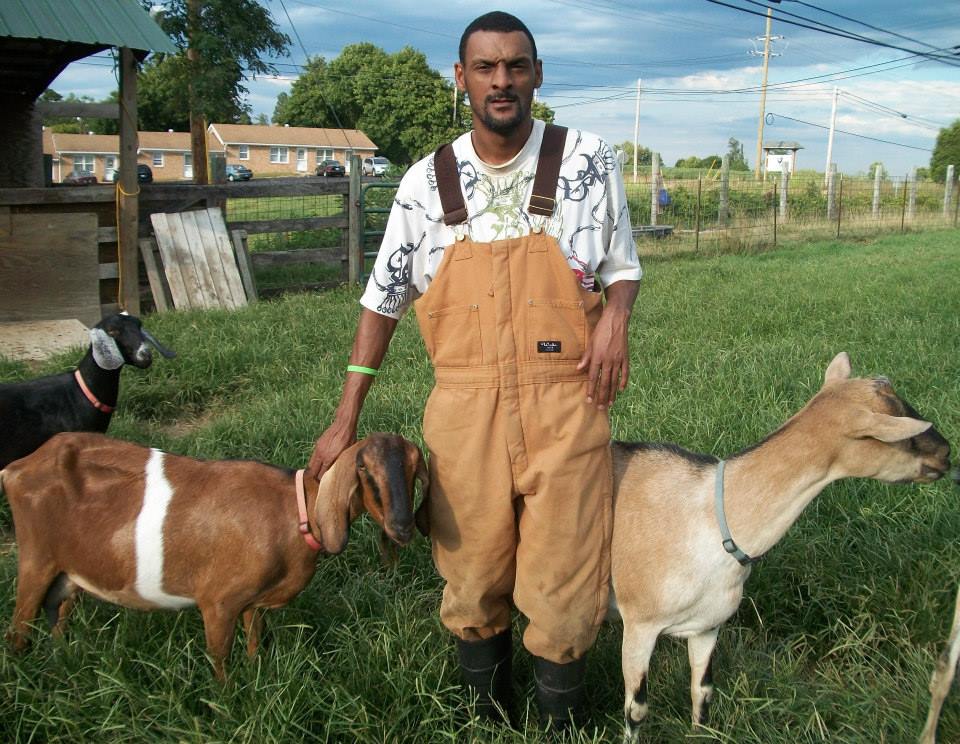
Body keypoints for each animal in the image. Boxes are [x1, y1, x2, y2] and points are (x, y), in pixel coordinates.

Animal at [0, 430, 428, 680]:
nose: (403, 528)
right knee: (18, 631)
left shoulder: (252, 602)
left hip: (68, 575)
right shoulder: (218, 602)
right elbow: (220, 659)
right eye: (365, 471)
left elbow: (255, 640)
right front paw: (227, 702)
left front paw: (257, 678)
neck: (295, 512)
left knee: (57, 618)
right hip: (36, 561)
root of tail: (17, 468)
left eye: (413, 470)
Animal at [612, 354, 948, 740]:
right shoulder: (639, 623)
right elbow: (636, 710)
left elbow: (702, 690)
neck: (711, 517)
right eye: (900, 434)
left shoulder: (707, 624)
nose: (947, 454)